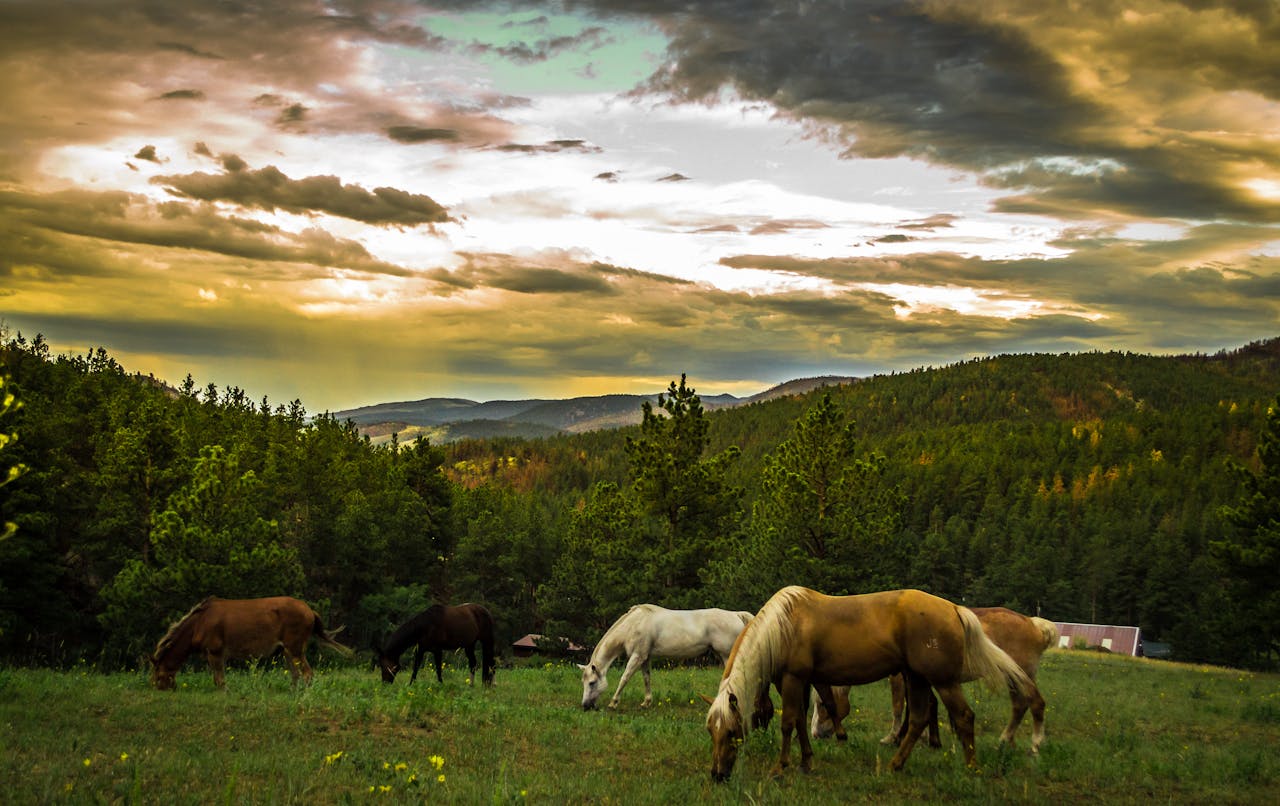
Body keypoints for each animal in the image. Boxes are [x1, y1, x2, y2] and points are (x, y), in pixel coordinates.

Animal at [147, 596, 353, 690]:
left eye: (157, 672)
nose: (160, 688)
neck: (196, 627)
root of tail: (311, 612)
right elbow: (217, 678)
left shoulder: (215, 650)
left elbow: (219, 680)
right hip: (286, 650)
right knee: (296, 674)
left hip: (294, 647)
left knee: (308, 673)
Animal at [578, 606, 747, 711]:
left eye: (592, 683)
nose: (585, 706)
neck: (634, 624)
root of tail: (736, 614)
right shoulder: (645, 658)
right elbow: (646, 678)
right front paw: (646, 702)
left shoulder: (637, 656)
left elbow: (624, 678)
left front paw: (613, 703)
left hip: (726, 655)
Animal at [808, 608, 1059, 757]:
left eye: (822, 705)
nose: (816, 734)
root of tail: (1035, 624)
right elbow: (927, 705)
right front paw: (926, 739)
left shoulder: (899, 676)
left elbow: (900, 707)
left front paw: (894, 737)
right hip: (1012, 677)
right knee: (1019, 705)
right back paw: (1005, 741)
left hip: (1020, 675)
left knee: (1035, 703)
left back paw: (1035, 744)